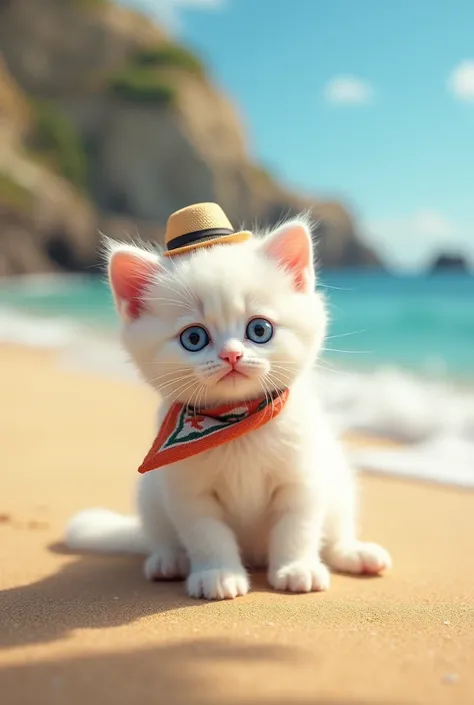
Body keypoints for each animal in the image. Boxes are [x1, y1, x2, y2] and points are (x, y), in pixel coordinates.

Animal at [66, 217, 392, 596]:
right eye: (194, 338)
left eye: (260, 329)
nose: (232, 355)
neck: (236, 423)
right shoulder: (188, 492)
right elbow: (207, 534)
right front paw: (218, 574)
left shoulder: (303, 478)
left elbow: (297, 527)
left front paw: (296, 567)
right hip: (150, 494)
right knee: (159, 535)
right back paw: (168, 560)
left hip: (339, 480)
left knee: (337, 531)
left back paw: (355, 554)